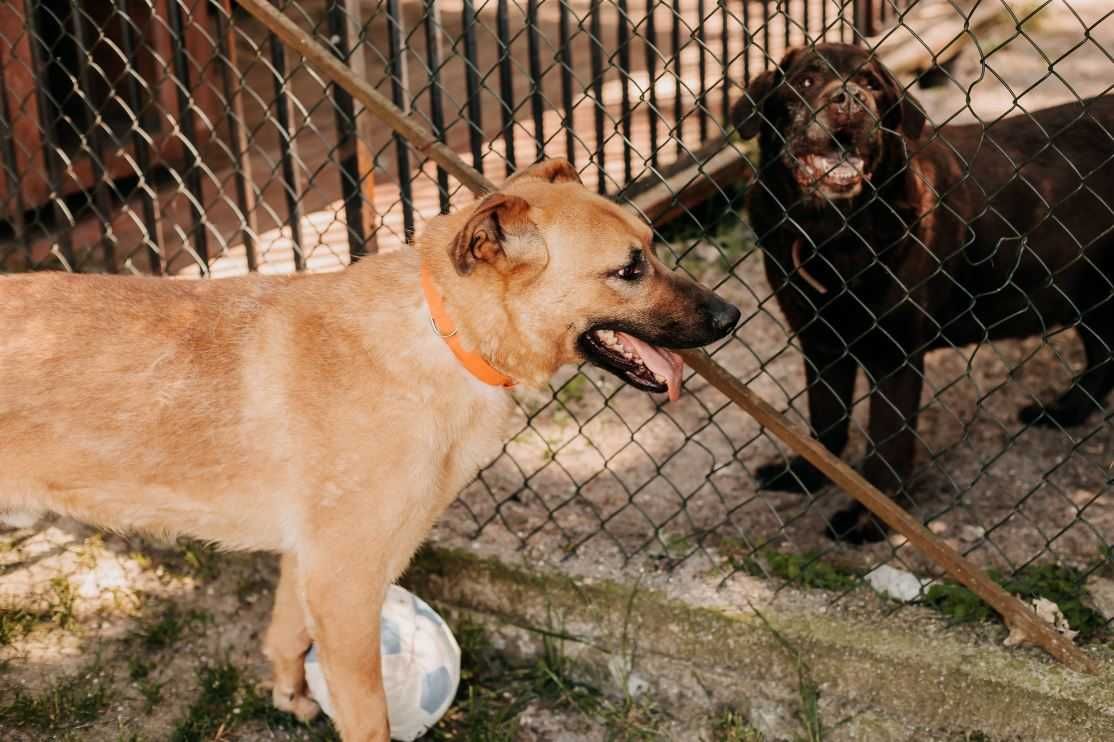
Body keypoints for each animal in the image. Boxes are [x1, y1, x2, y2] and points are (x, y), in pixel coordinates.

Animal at [0, 159, 739, 735]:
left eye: (653, 246)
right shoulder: (346, 582)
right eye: (630, 269)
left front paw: (289, 695)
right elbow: (369, 716)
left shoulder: (312, 564)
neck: (443, 334)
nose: (733, 316)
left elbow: (285, 633)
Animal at [730, 46, 1114, 541]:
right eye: (807, 80)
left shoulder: (895, 356)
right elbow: (826, 424)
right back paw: (1063, 412)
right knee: (1103, 357)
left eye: (872, 85)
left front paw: (866, 523)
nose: (850, 99)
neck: (831, 233)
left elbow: (886, 448)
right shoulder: (820, 343)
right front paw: (805, 477)